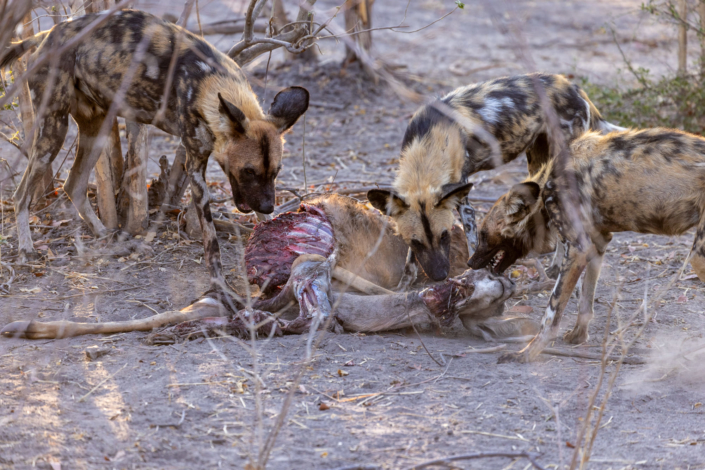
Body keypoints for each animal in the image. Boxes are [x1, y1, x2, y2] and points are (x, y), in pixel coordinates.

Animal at [0, 10, 308, 290]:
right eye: (248, 171)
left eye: (275, 172)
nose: (269, 205)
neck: (210, 84)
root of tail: (49, 33)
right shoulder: (195, 167)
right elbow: (211, 240)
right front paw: (221, 287)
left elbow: (260, 223)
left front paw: (271, 239)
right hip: (53, 130)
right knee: (21, 195)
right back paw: (27, 248)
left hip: (98, 127)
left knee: (72, 184)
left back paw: (105, 235)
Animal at [366, 71, 620, 280]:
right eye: (416, 241)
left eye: (445, 236)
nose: (439, 276)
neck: (428, 144)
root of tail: (574, 88)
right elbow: (410, 257)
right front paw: (406, 282)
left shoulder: (462, 197)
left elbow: (472, 239)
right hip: (537, 165)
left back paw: (558, 267)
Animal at [468, 126, 705, 362]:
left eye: (483, 234)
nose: (470, 263)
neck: (545, 188)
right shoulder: (597, 244)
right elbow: (585, 302)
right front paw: (578, 337)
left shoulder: (577, 250)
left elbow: (551, 312)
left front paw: (528, 352)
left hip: (698, 258)